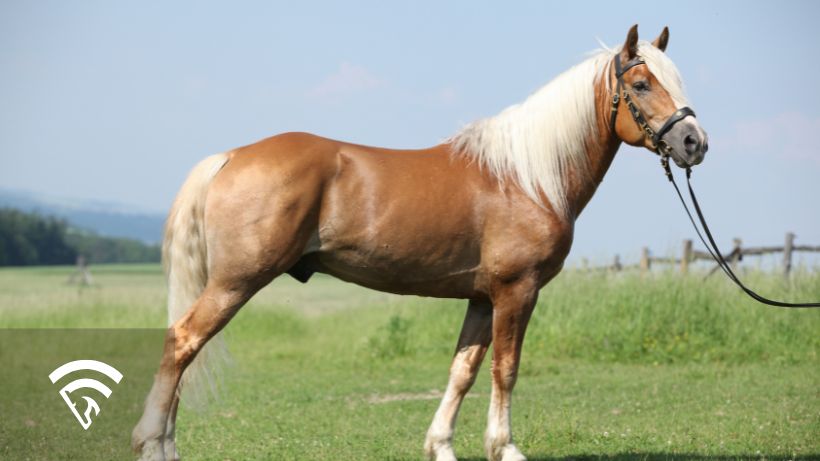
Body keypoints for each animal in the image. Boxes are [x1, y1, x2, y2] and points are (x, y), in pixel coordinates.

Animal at [133, 25, 704, 460]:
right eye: (641, 83)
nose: (694, 142)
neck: (526, 177)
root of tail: (230, 156)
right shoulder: (516, 291)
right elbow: (506, 369)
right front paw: (505, 448)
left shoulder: (482, 297)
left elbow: (463, 371)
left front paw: (441, 446)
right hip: (237, 281)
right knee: (182, 343)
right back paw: (152, 443)